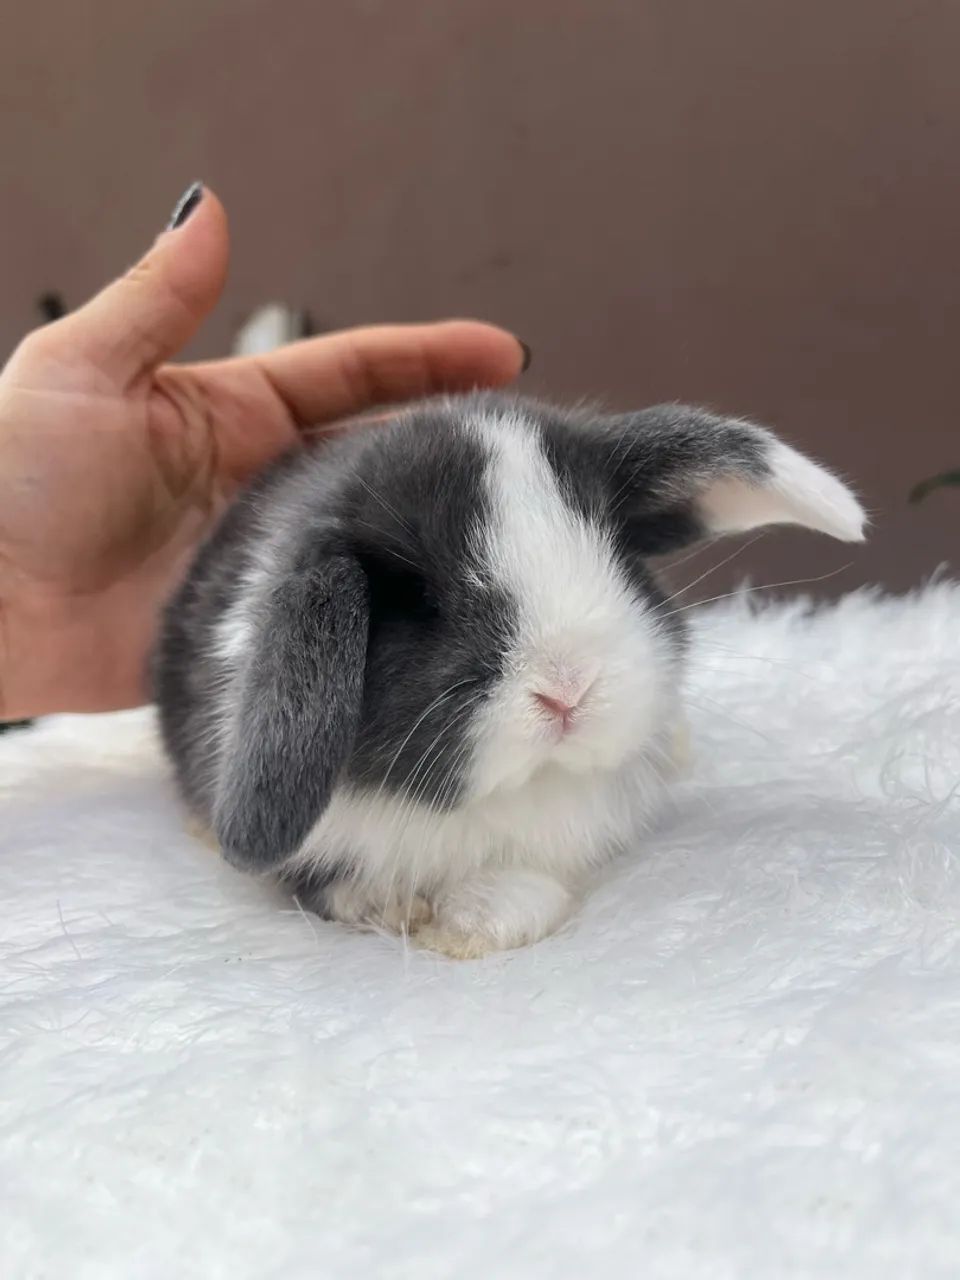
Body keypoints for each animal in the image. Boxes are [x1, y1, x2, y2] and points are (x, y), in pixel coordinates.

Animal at [152, 392, 865, 958]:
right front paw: (391, 907)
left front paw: (476, 922)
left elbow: (528, 886)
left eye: (618, 553)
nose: (569, 689)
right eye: (420, 600)